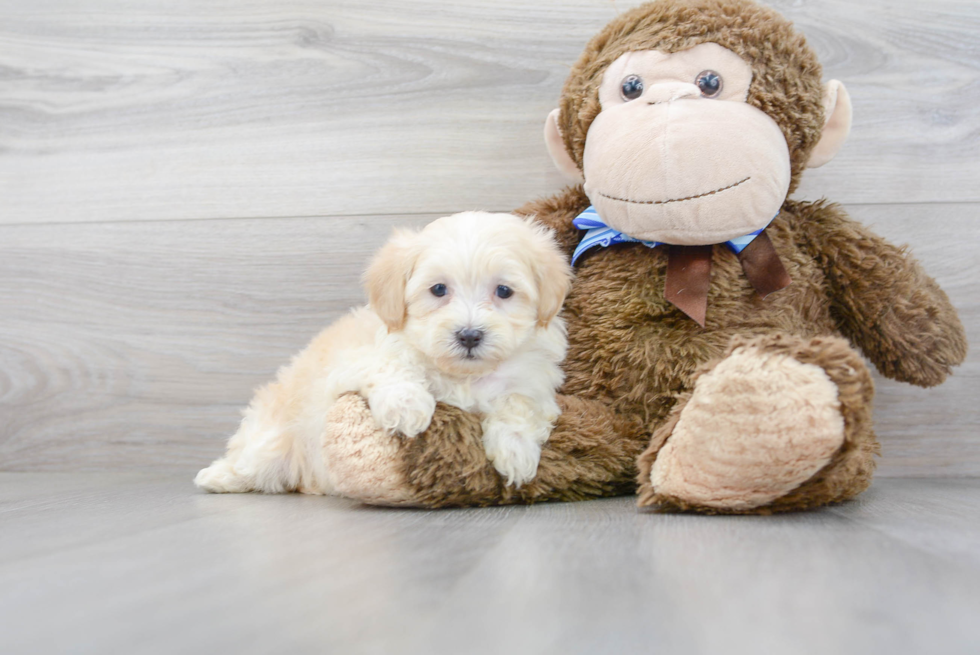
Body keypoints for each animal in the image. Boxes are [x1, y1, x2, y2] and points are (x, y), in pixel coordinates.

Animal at [194, 213, 572, 494]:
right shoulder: (353, 359)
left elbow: (519, 404)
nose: (468, 335)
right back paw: (218, 476)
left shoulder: (532, 382)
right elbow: (388, 365)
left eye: (504, 291)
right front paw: (407, 406)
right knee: (253, 460)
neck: (463, 375)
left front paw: (516, 450)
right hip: (272, 438)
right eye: (438, 289)